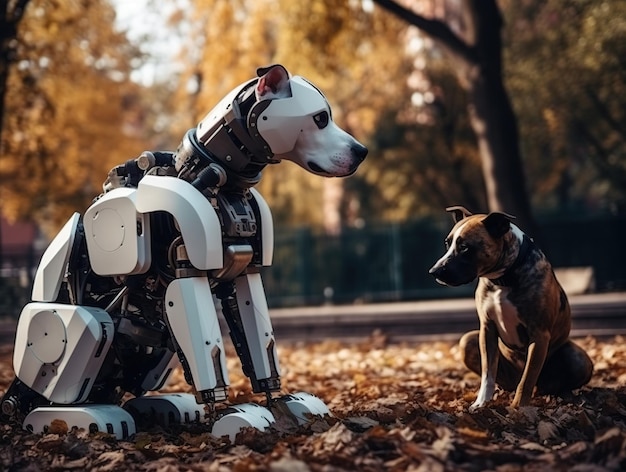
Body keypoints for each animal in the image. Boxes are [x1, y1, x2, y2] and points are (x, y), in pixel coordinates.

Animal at [1, 64, 366, 440]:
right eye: (320, 118)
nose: (361, 152)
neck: (215, 176)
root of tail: (13, 398)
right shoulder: (186, 268)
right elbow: (209, 355)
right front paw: (227, 415)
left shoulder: (246, 271)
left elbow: (260, 351)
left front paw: (282, 405)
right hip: (91, 323)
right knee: (61, 381)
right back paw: (84, 417)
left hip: (158, 350)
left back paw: (166, 408)